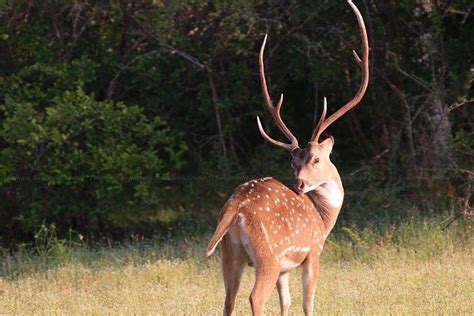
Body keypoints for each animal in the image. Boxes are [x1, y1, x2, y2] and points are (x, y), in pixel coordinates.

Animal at [207, 1, 370, 314]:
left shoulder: (285, 268)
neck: (324, 220)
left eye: (313, 160)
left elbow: (286, 302)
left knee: (228, 300)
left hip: (229, 252)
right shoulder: (313, 251)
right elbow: (307, 302)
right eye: (294, 163)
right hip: (267, 254)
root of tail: (236, 206)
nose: (299, 185)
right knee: (254, 297)